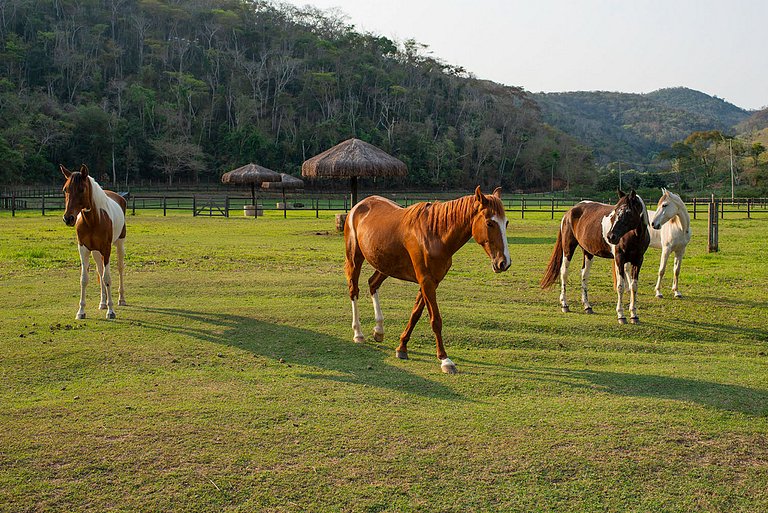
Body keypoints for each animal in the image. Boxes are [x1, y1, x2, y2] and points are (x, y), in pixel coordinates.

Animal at [61, 164, 127, 318]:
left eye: (81, 189)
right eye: (65, 189)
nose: (68, 218)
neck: (93, 220)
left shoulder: (107, 249)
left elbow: (107, 278)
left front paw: (111, 311)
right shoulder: (83, 249)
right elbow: (84, 279)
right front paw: (81, 311)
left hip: (119, 244)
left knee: (120, 268)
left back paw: (121, 299)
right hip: (96, 252)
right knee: (100, 270)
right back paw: (103, 303)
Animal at [344, 186, 508, 374]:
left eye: (506, 223)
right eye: (489, 223)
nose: (503, 262)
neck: (435, 235)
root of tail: (358, 206)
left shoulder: (431, 282)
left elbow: (415, 314)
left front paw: (402, 347)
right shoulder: (426, 281)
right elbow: (435, 320)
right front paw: (445, 360)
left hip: (385, 265)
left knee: (373, 284)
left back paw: (378, 330)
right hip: (355, 259)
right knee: (354, 291)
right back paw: (358, 333)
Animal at [540, 188, 648, 324]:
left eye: (628, 212)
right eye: (615, 211)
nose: (610, 236)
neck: (634, 236)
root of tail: (569, 212)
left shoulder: (638, 260)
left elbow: (634, 286)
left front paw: (634, 315)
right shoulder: (619, 259)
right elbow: (621, 286)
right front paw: (621, 315)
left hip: (588, 252)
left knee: (584, 275)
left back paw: (587, 306)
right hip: (568, 249)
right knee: (564, 272)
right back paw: (564, 304)